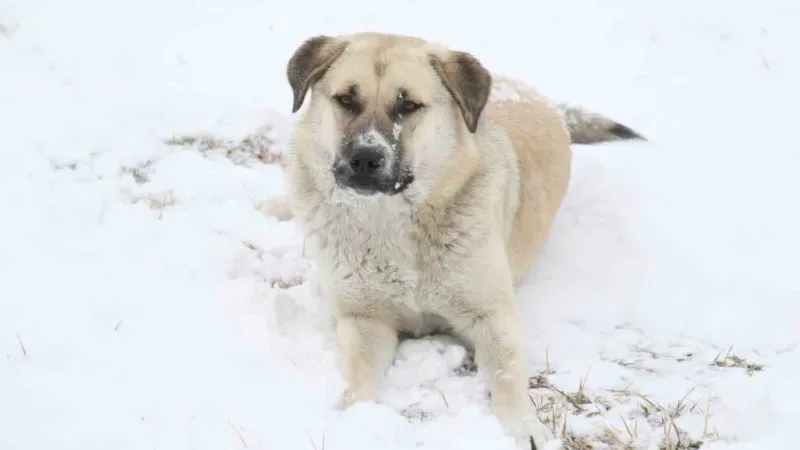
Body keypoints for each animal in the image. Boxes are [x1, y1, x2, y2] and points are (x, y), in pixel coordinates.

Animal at [266, 32, 648, 450]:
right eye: (346, 100)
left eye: (408, 105)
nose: (366, 159)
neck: (392, 225)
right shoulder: (364, 319)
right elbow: (359, 376)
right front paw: (354, 419)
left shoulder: (492, 316)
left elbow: (507, 377)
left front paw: (523, 427)